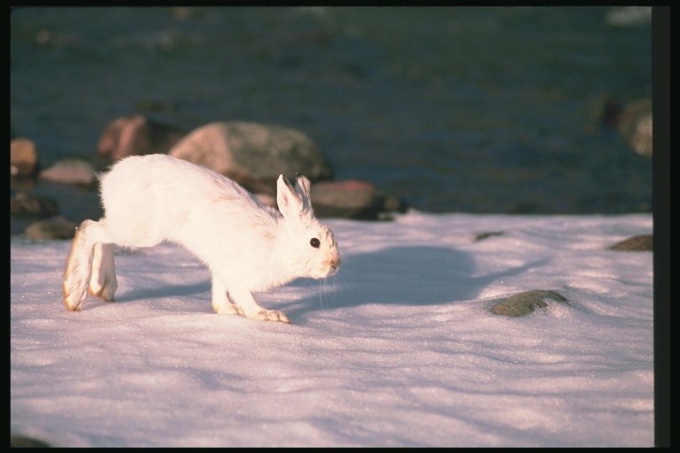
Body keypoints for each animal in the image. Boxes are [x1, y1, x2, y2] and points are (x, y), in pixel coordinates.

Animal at [60, 154, 340, 324]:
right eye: (314, 242)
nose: (336, 264)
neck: (279, 245)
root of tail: (110, 178)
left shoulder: (221, 268)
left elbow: (219, 291)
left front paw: (227, 310)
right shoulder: (237, 274)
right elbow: (243, 297)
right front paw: (268, 315)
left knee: (101, 228)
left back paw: (103, 287)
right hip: (142, 232)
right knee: (89, 229)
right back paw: (75, 293)